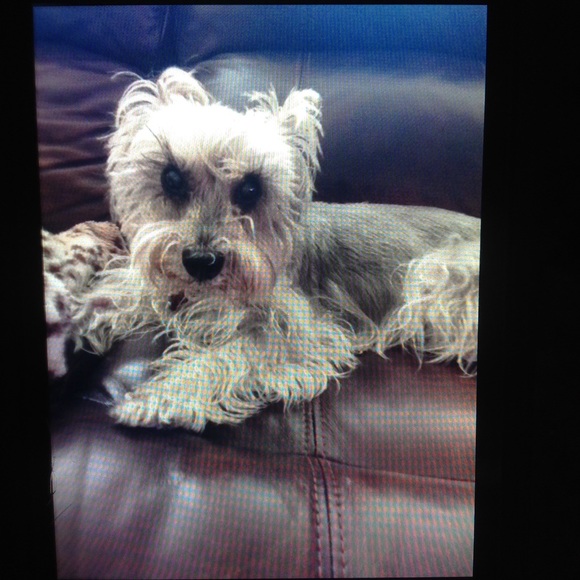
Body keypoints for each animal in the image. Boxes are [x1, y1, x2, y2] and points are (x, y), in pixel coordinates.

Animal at [43, 67, 480, 431]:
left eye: (252, 188)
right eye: (171, 178)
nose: (202, 262)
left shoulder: (302, 335)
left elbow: (228, 356)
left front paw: (158, 397)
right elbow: (119, 292)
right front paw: (80, 317)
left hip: (436, 273)